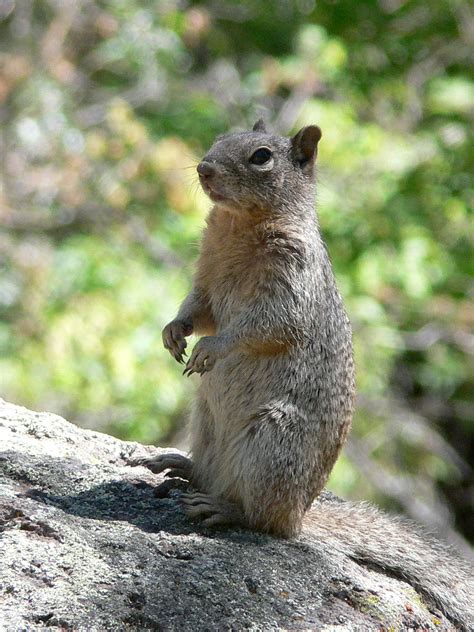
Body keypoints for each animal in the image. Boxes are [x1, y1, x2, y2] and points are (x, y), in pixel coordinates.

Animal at [131, 119, 472, 632]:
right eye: (219, 138)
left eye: (261, 157)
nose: (204, 168)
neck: (238, 224)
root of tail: (300, 515)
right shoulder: (206, 278)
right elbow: (198, 309)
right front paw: (174, 332)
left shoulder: (290, 284)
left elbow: (261, 327)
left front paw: (210, 350)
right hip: (205, 422)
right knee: (212, 475)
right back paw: (181, 466)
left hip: (273, 441)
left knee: (265, 522)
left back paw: (223, 507)